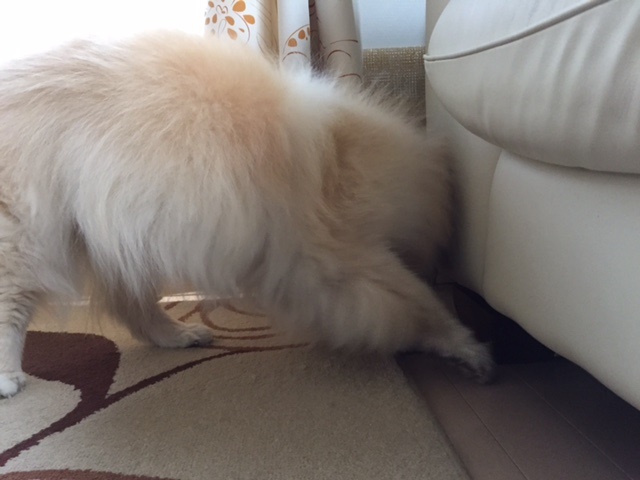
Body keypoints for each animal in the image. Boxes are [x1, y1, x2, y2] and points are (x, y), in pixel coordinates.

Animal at [0, 31, 494, 397]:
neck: (351, 157)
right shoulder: (344, 256)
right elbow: (421, 305)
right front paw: (468, 346)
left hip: (114, 235)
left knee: (134, 307)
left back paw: (177, 335)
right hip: (26, 241)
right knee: (15, 307)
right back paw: (8, 377)